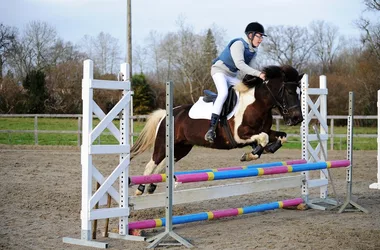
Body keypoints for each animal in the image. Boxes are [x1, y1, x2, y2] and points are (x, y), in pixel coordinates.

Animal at [130, 64, 302, 195]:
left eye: (300, 93)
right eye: (289, 92)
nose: (297, 118)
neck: (257, 104)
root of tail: (167, 113)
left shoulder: (264, 131)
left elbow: (281, 136)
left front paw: (265, 150)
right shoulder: (239, 135)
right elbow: (263, 138)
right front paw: (249, 155)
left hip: (181, 148)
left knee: (162, 165)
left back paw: (152, 186)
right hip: (163, 145)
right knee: (151, 165)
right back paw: (140, 189)